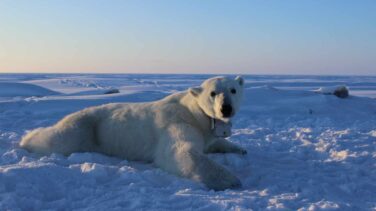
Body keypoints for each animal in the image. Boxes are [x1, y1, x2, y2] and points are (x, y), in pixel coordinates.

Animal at [22, 75, 248, 190]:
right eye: (213, 93)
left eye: (233, 90)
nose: (226, 108)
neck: (193, 112)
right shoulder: (178, 123)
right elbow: (181, 152)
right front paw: (231, 180)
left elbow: (213, 142)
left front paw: (240, 149)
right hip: (85, 128)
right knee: (58, 139)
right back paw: (27, 139)